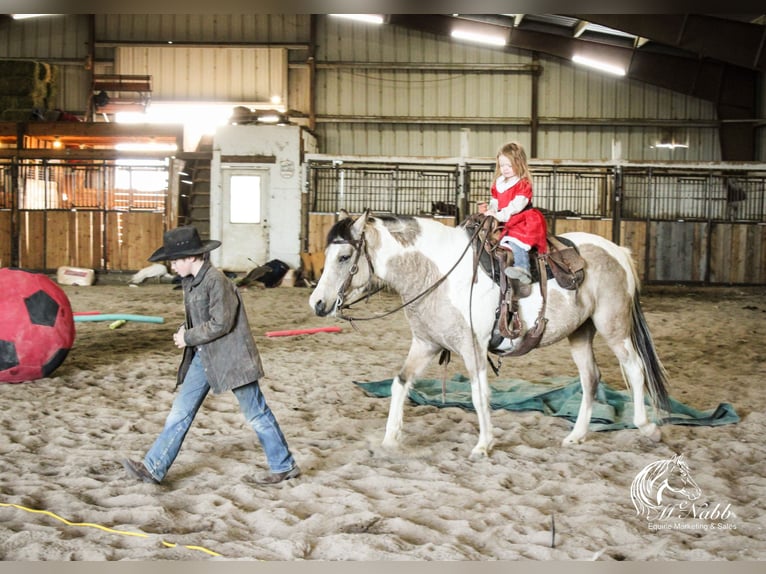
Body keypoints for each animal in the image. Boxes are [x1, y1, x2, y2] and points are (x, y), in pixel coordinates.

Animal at [308, 212, 668, 460]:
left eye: (344, 257)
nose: (317, 304)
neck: (437, 273)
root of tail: (618, 251)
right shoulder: (426, 344)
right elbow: (400, 382)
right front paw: (390, 438)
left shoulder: (473, 348)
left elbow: (479, 395)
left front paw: (483, 444)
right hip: (580, 332)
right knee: (591, 378)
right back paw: (576, 436)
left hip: (613, 326)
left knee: (635, 369)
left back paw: (647, 427)